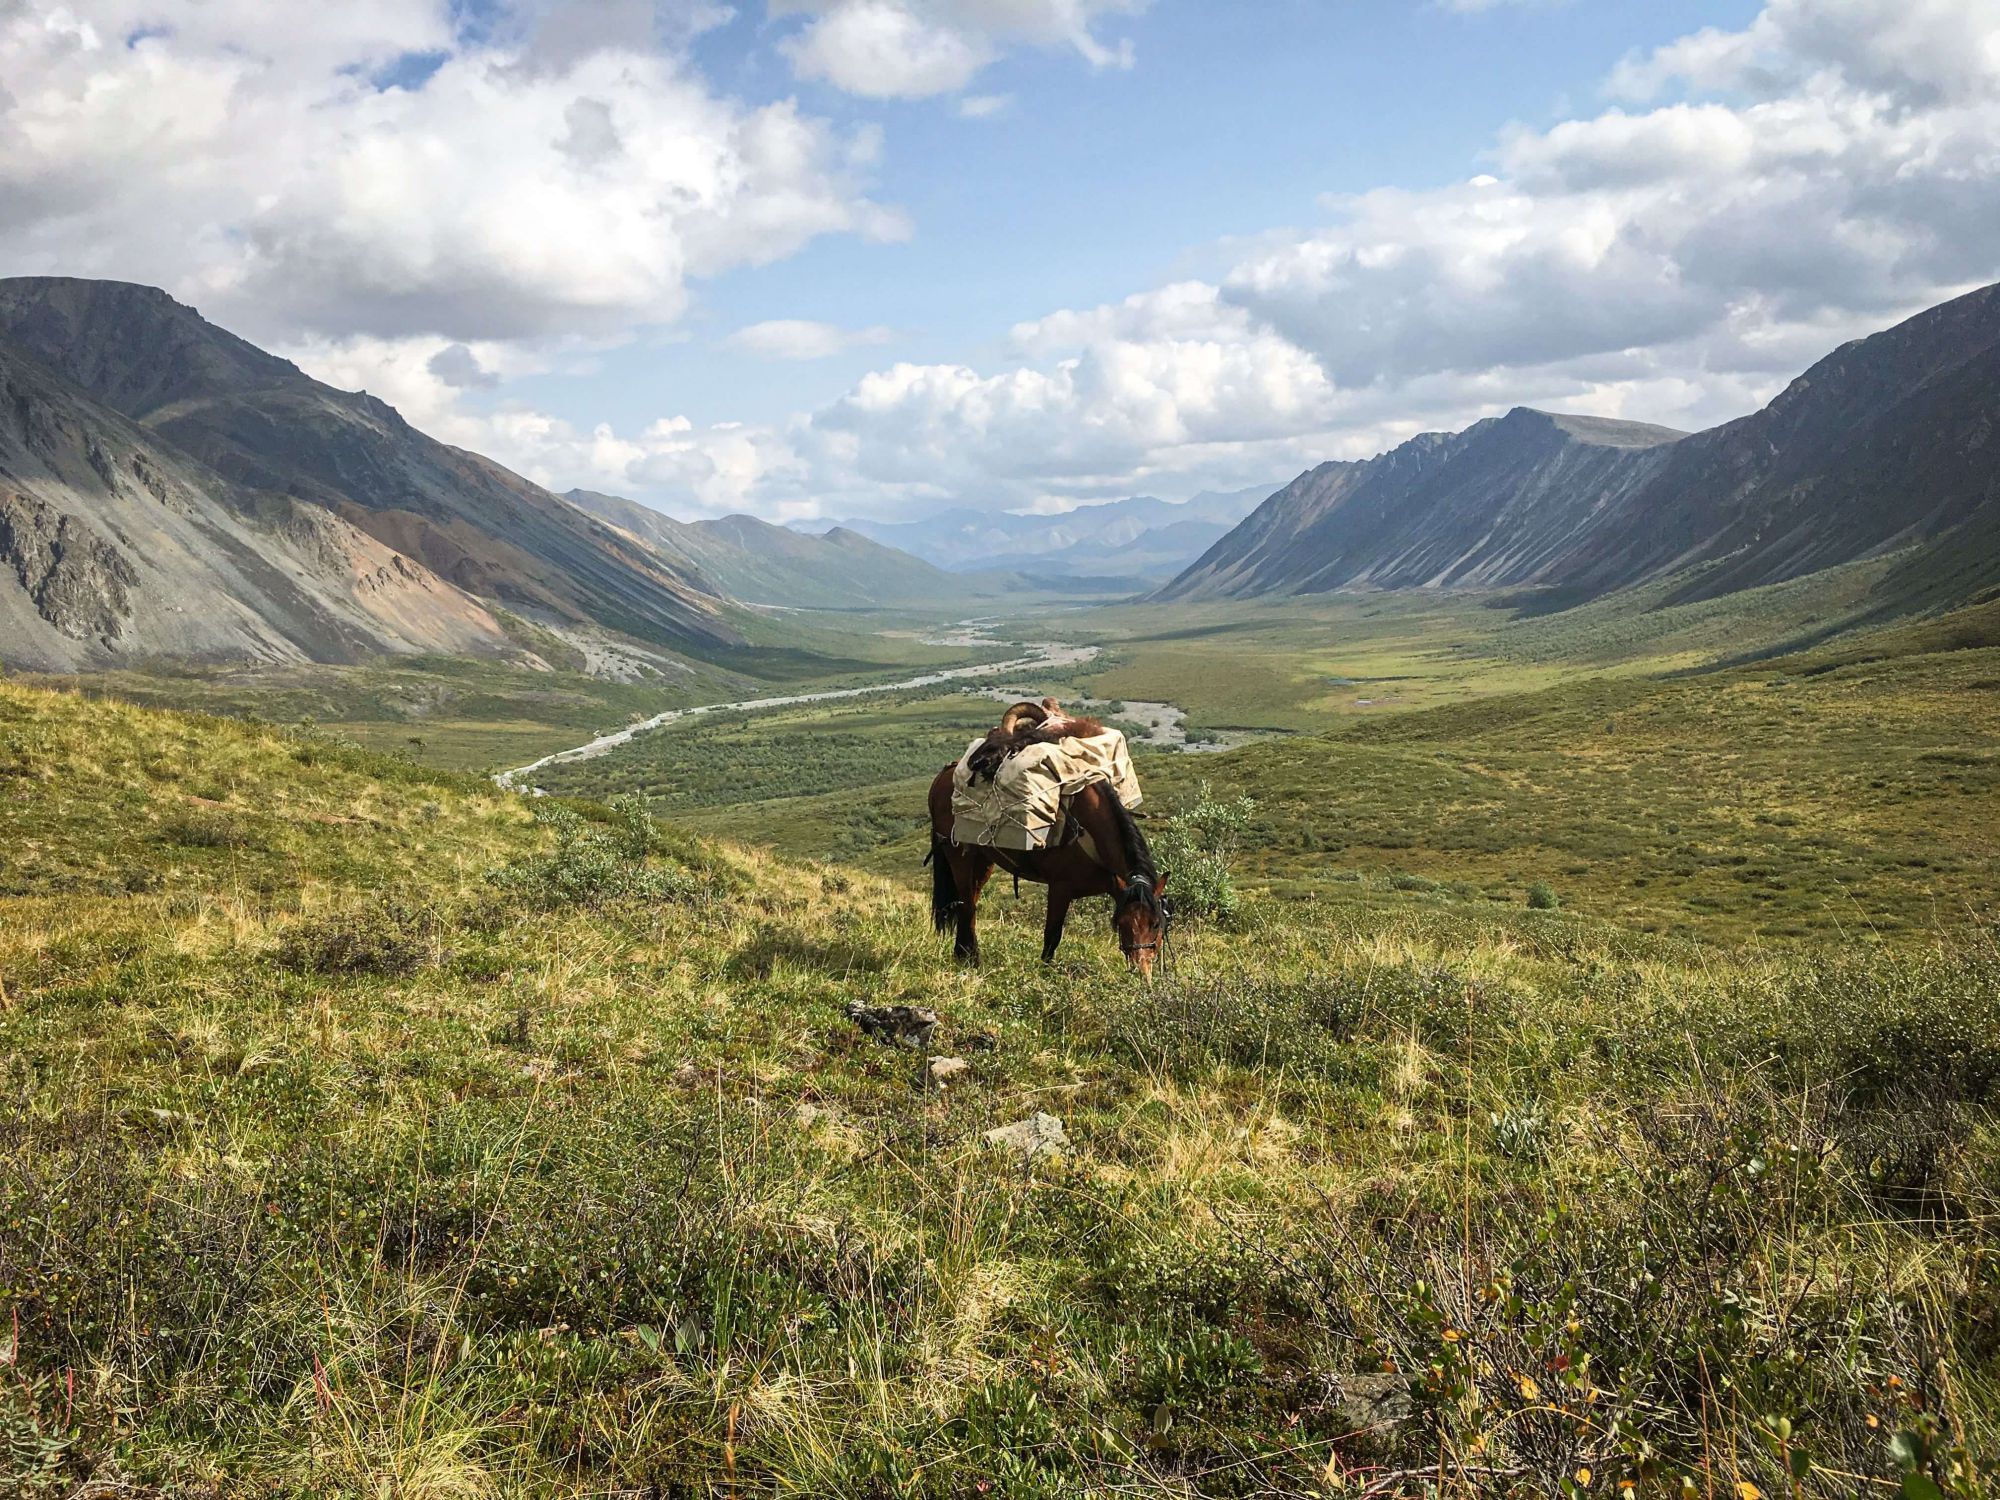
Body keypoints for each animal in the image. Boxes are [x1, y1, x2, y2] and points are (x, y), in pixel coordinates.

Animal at [924, 768, 1168, 980]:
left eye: (1156, 923)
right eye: (1121, 924)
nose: (1142, 973)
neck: (1089, 833)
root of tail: (944, 774)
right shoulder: (1060, 888)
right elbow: (1052, 935)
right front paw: (1045, 974)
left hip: (982, 860)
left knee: (969, 902)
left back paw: (963, 955)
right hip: (958, 856)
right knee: (967, 904)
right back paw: (970, 958)